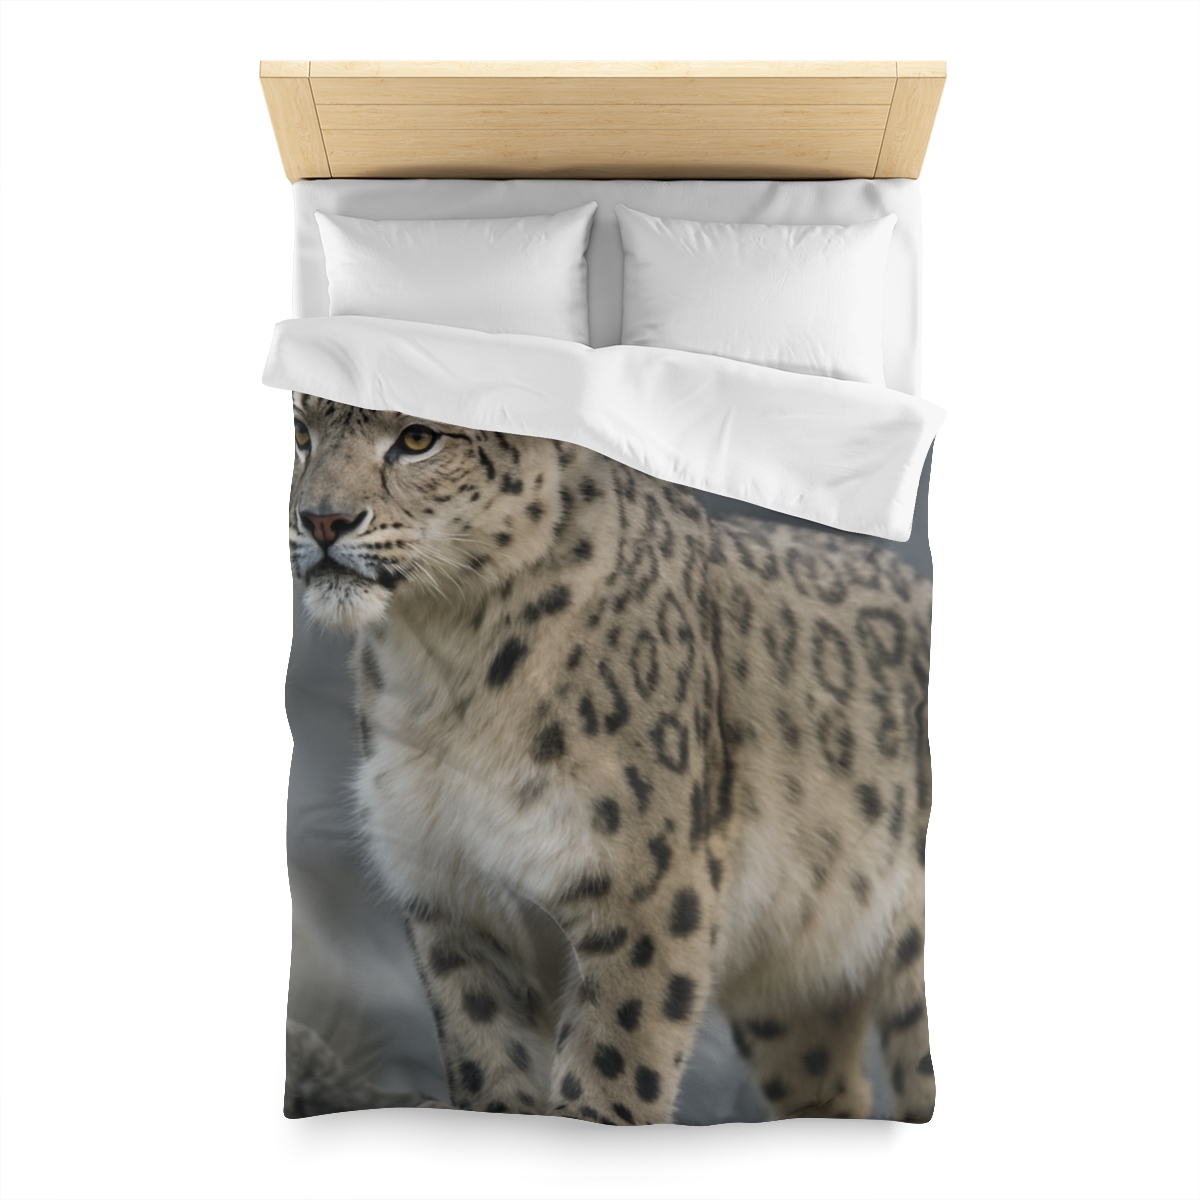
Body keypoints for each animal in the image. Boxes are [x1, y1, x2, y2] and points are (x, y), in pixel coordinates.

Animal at [288, 392, 935, 1125]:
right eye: (302, 431)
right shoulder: (450, 900)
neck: (441, 665)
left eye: (419, 439)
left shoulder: (643, 891)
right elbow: (486, 1060)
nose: (321, 519)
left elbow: (614, 1060)